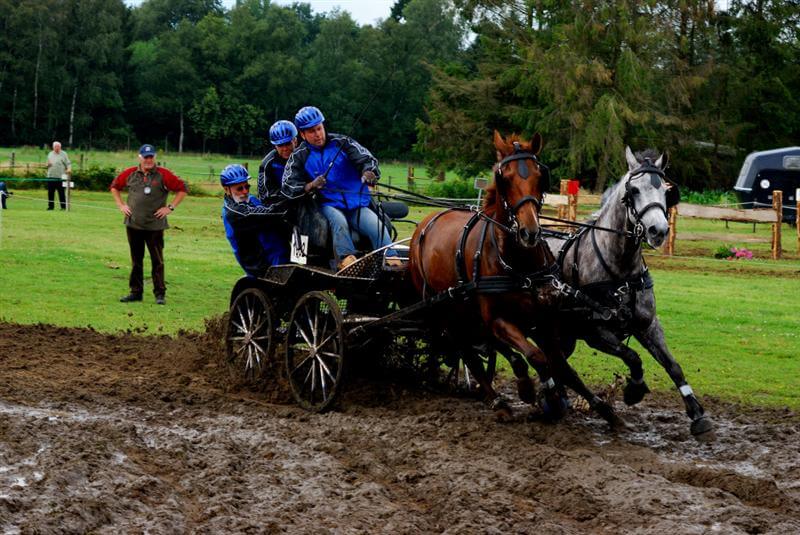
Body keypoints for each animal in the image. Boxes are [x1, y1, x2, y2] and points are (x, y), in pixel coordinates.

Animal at [410, 131, 620, 428]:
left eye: (539, 174)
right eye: (504, 177)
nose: (529, 232)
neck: (520, 264)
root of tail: (427, 221)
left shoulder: (545, 318)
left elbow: (560, 364)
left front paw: (602, 408)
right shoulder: (498, 320)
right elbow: (535, 357)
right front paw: (540, 394)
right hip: (442, 308)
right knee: (466, 349)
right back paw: (498, 401)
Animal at [544, 149, 712, 438]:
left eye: (666, 190)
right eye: (633, 190)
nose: (658, 231)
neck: (620, 273)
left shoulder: (648, 324)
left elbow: (672, 365)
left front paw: (696, 412)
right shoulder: (596, 334)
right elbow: (633, 357)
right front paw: (634, 389)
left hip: (563, 335)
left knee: (556, 364)